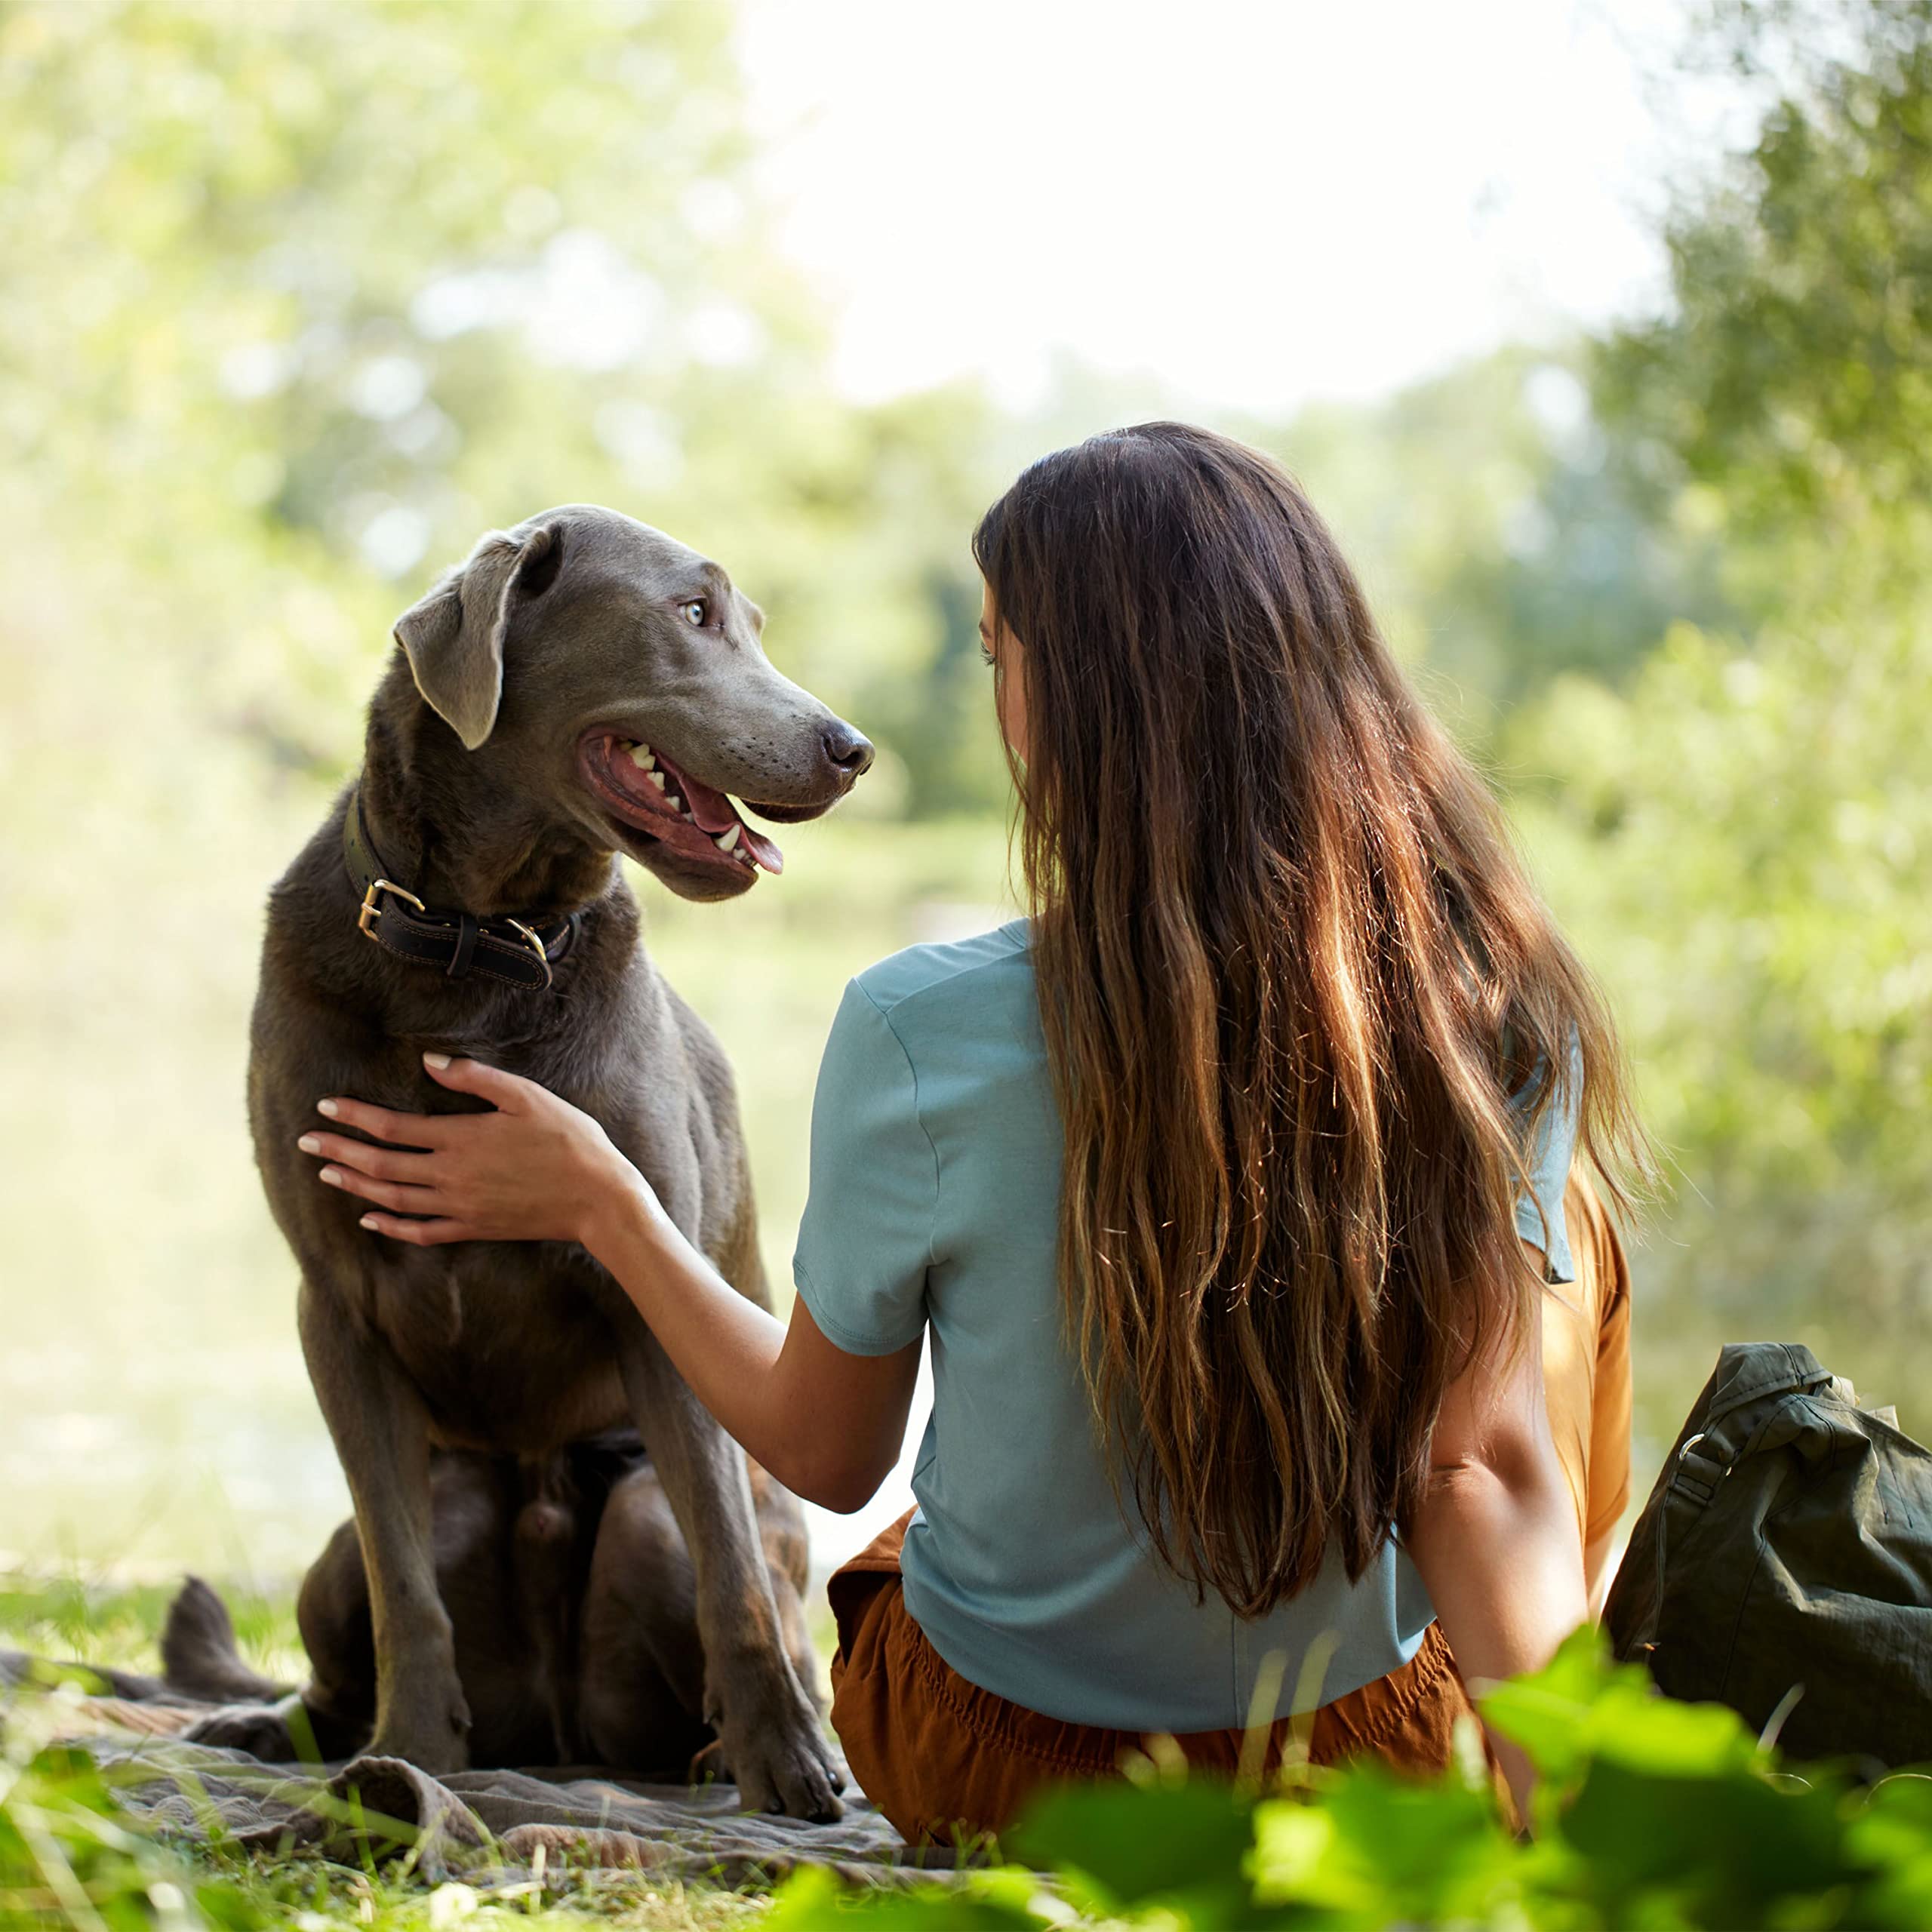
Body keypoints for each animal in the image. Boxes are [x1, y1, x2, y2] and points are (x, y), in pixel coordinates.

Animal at [215, 506, 873, 1816]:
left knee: (721, 1567)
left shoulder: (650, 1288)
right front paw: (409, 1763)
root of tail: (563, 1738)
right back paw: (280, 1728)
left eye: (751, 621)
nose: (851, 747)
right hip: (377, 1529)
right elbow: (404, 1587)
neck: (477, 945)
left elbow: (731, 1571)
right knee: (362, 1600)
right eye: (692, 613)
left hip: (642, 1514)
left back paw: (731, 1754)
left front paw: (787, 1766)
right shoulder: (335, 1305)